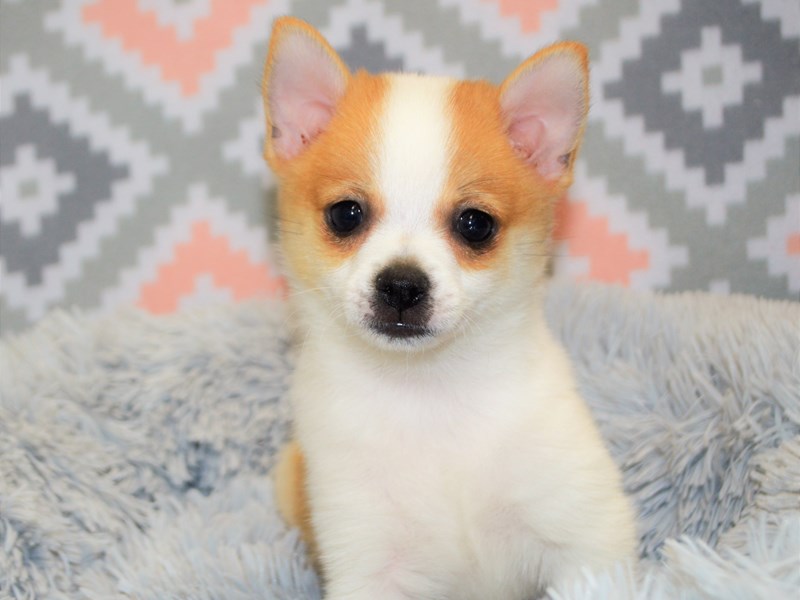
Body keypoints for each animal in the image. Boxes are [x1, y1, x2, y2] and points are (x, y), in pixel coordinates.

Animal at [262, 16, 636, 596]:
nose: (401, 284)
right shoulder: (370, 562)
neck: (430, 392)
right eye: (346, 214)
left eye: (475, 224)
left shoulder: (586, 542)